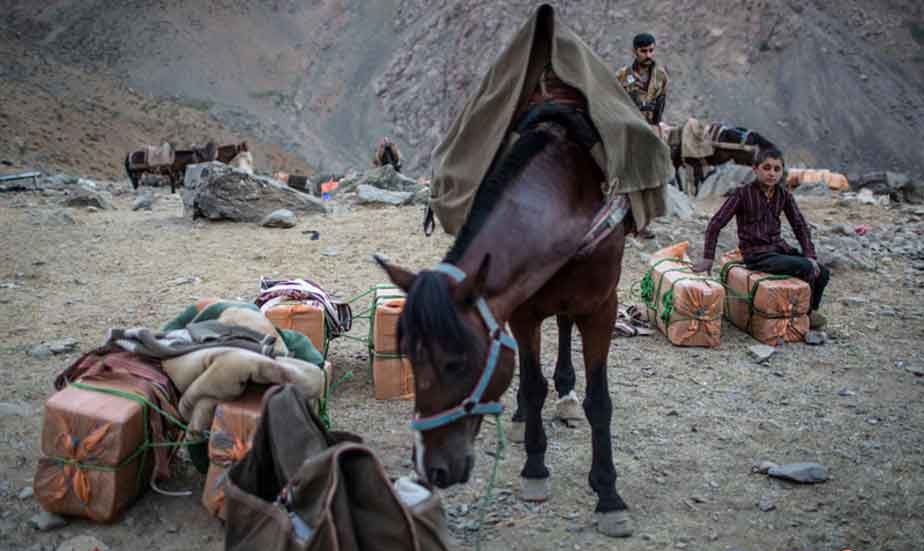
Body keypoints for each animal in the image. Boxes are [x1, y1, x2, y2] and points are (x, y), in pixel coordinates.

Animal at [378, 110, 640, 536]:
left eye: (456, 363)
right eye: (410, 361)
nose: (431, 469)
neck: (567, 198)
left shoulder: (602, 308)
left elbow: (599, 401)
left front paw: (608, 496)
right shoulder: (521, 311)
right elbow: (532, 387)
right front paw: (535, 468)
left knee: (564, 325)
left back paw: (566, 392)